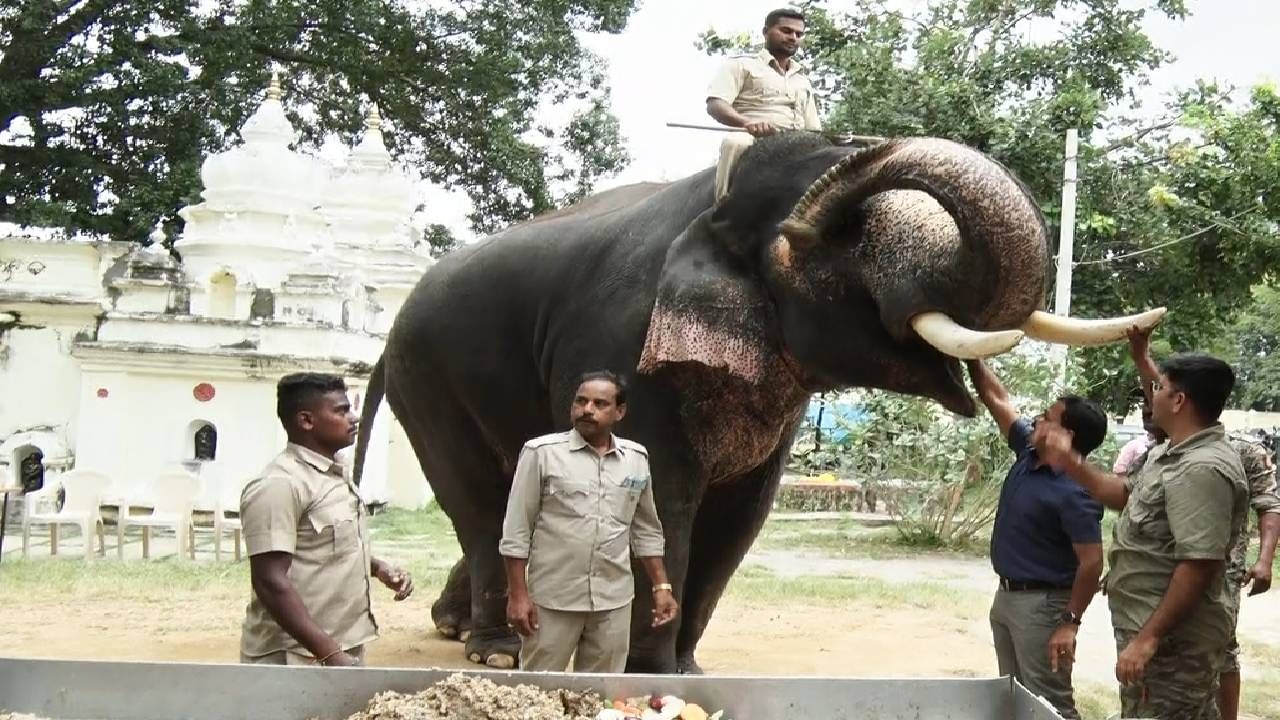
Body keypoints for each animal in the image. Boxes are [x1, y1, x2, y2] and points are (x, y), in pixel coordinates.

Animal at [353, 130, 1162, 671]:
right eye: (843, 239)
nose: (1152, 325)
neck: (708, 208)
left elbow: (741, 513)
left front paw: (687, 670)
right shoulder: (621, 342)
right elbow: (663, 503)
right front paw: (646, 672)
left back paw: (462, 628)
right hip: (427, 378)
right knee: (483, 504)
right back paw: (495, 650)